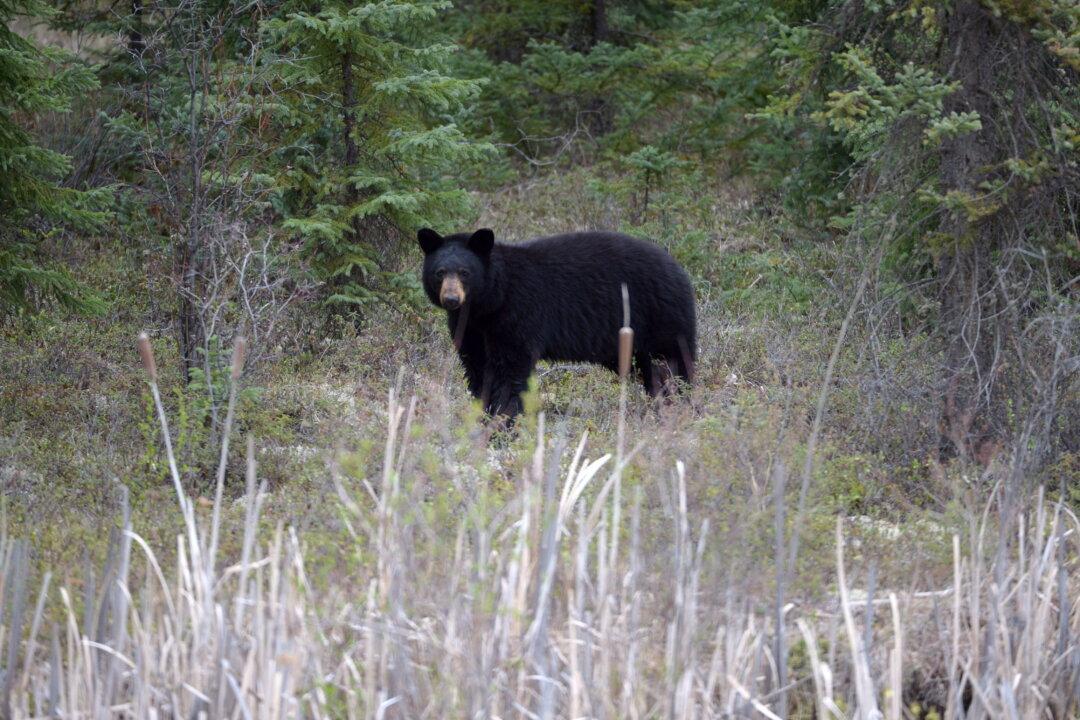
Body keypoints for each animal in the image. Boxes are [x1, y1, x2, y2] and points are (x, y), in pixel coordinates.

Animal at [418, 227, 696, 424]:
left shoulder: (518, 315)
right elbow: (477, 368)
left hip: (661, 318)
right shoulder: (470, 328)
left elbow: (511, 371)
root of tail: (679, 269)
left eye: (464, 272)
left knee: (676, 363)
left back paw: (682, 404)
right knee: (652, 370)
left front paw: (503, 422)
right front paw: (482, 416)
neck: (490, 302)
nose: (451, 299)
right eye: (440, 272)